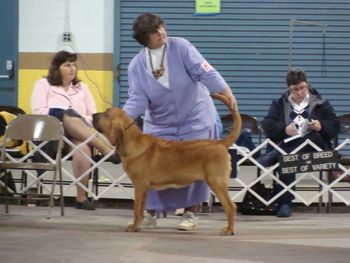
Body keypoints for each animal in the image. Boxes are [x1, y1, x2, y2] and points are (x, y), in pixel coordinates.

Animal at [91, 95, 242, 235]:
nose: (92, 115)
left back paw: (229, 230)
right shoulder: (144, 188)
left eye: (106, 113)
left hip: (217, 182)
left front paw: (134, 227)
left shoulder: (139, 185)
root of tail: (220, 143)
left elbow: (136, 209)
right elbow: (141, 209)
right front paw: (139, 225)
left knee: (231, 206)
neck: (132, 141)